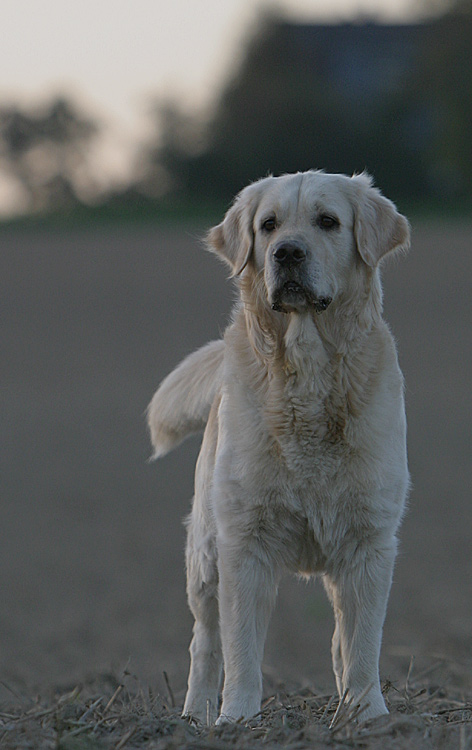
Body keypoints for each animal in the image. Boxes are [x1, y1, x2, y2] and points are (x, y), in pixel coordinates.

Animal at [148, 169, 410, 724]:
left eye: (328, 221)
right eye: (268, 225)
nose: (287, 252)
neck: (307, 375)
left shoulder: (369, 541)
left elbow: (363, 643)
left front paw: (366, 714)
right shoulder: (244, 541)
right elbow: (242, 647)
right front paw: (238, 717)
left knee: (339, 640)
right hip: (205, 556)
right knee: (205, 643)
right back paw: (196, 715)